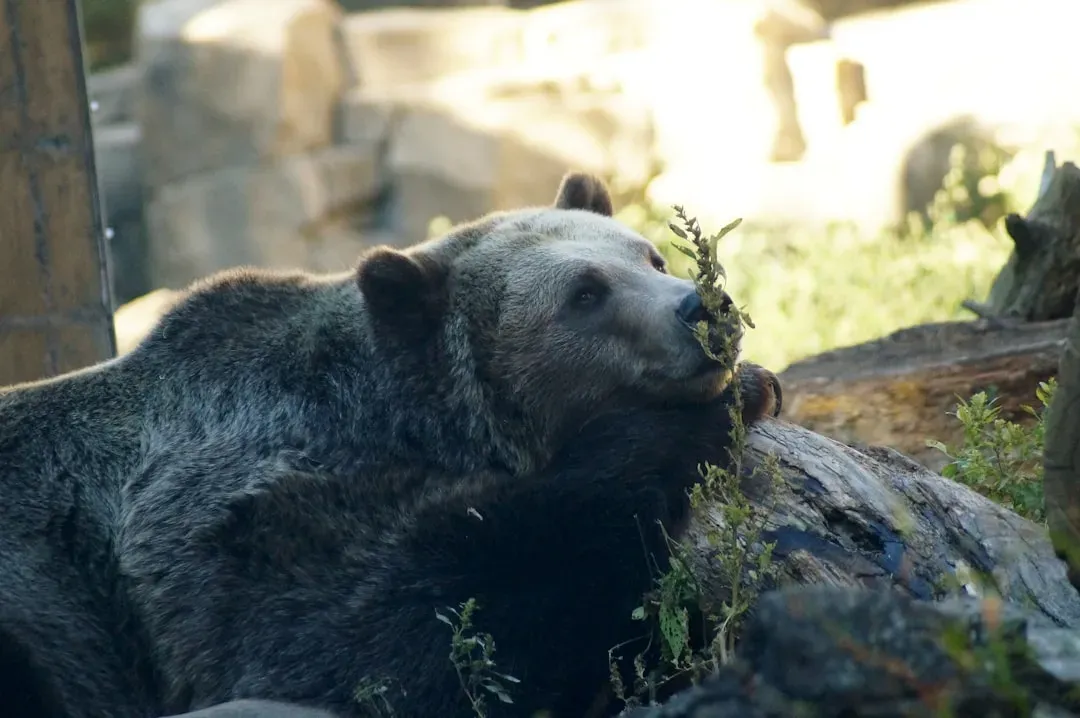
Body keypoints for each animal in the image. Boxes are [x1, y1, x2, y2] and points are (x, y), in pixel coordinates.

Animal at [0, 172, 781, 718]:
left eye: (651, 258)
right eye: (584, 295)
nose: (703, 307)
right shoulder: (235, 534)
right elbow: (395, 644)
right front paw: (721, 406)